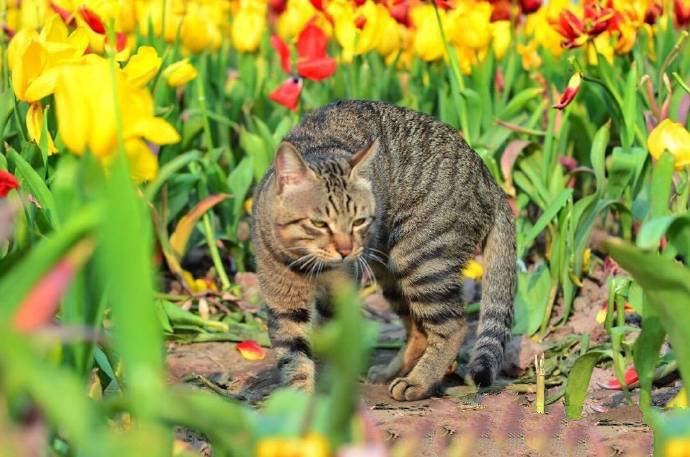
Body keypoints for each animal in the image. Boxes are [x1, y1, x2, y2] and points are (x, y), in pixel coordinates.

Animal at [250, 100, 512, 400]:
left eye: (358, 221)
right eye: (319, 223)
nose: (346, 250)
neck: (309, 265)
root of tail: (486, 172)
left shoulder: (341, 294)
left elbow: (332, 343)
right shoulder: (283, 302)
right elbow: (294, 357)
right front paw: (297, 403)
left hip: (420, 259)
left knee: (453, 326)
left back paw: (418, 382)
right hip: (389, 270)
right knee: (419, 328)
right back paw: (392, 372)